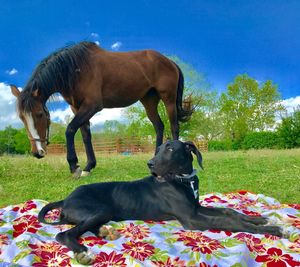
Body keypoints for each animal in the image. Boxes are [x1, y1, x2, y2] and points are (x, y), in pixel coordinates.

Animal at [11, 42, 192, 178]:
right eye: (22, 118)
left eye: (40, 114)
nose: (38, 152)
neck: (76, 70)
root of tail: (170, 62)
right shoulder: (77, 108)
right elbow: (85, 135)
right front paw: (88, 167)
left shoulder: (92, 106)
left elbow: (70, 130)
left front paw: (74, 166)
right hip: (149, 101)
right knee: (159, 126)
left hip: (168, 100)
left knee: (174, 126)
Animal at [38, 141, 284, 264]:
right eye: (157, 150)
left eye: (171, 149)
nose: (150, 164)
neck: (183, 179)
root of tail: (66, 198)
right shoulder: (192, 219)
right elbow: (228, 223)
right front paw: (271, 229)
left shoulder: (196, 208)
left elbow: (229, 212)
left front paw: (258, 218)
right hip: (100, 209)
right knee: (65, 234)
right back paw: (82, 253)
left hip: (101, 213)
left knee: (84, 227)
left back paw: (107, 232)